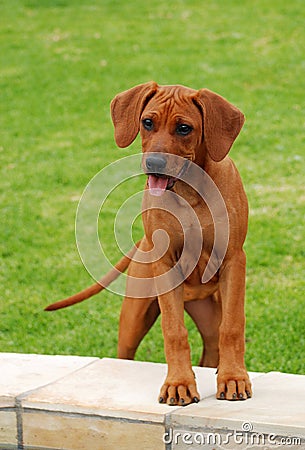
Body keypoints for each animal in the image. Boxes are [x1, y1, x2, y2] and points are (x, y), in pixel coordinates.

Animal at [46, 82, 252, 406]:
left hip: (210, 313)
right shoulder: (166, 263)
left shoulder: (232, 259)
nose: (153, 164)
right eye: (147, 123)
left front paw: (233, 378)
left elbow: (232, 326)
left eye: (184, 128)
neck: (190, 191)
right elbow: (174, 330)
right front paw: (179, 383)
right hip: (134, 316)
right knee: (127, 353)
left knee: (214, 343)